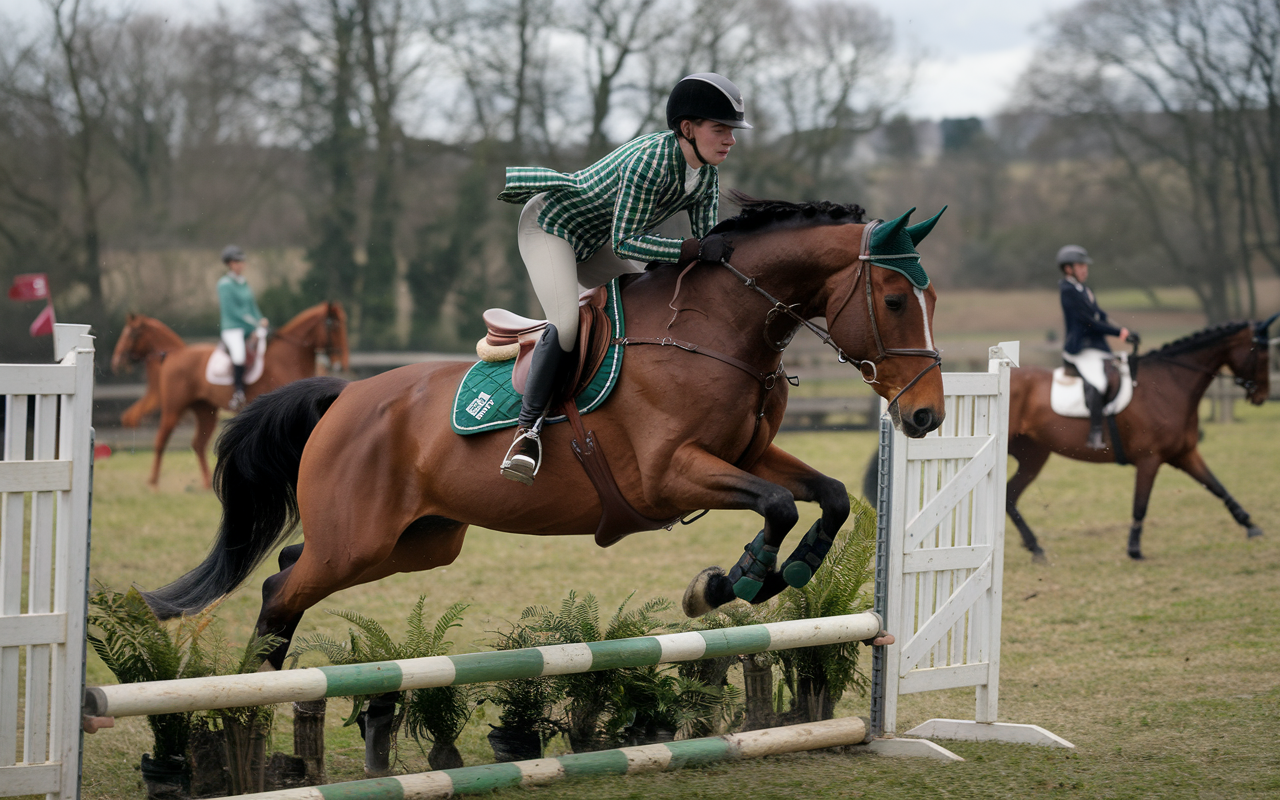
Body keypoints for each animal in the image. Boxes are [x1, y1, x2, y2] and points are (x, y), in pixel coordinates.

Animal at [110, 299, 348, 486]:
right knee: (161, 440)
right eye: (333, 326)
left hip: (205, 411)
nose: (341, 363)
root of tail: (175, 353)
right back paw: (154, 483)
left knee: (198, 444)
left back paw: (206, 484)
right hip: (173, 409)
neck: (287, 358)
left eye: (131, 333)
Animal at [145, 200, 952, 665]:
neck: (718, 329)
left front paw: (782, 572)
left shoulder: (747, 454)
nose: (926, 416)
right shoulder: (669, 474)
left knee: (284, 568)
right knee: (282, 592)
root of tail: (346, 396)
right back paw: (254, 712)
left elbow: (831, 494)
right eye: (892, 298)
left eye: (932, 297)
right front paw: (736, 579)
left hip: (415, 542)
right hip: (360, 541)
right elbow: (778, 505)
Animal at [1008, 314, 1280, 558]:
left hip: (1033, 456)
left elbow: (1218, 487)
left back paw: (1035, 548)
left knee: (1010, 496)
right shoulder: (1149, 459)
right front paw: (1134, 549)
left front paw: (1251, 526)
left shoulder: (1186, 454)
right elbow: (1140, 505)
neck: (1168, 384)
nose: (1262, 396)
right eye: (1262, 353)